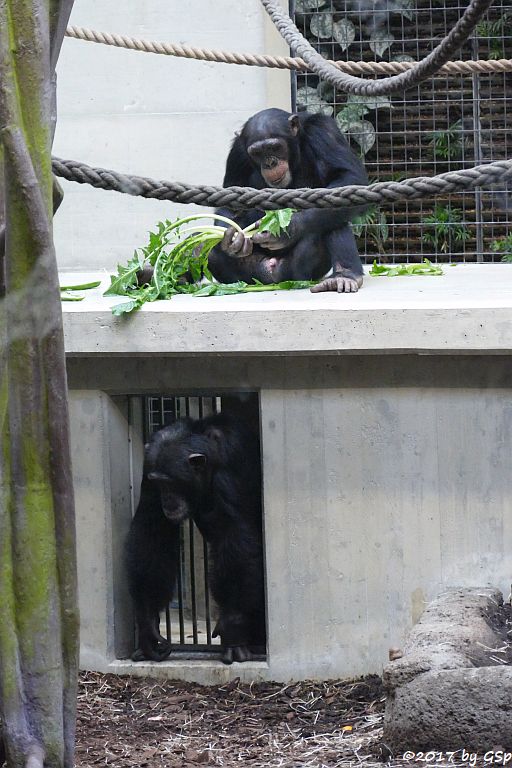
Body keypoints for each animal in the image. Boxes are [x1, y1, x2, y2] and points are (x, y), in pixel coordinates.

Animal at [125, 414, 266, 664]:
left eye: (171, 483)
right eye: (159, 484)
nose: (167, 499)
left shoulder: (228, 477)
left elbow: (235, 543)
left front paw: (234, 628)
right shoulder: (149, 469)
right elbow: (152, 533)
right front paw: (147, 624)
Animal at [208, 109, 368, 296]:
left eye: (274, 147)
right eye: (257, 153)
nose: (270, 162)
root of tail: (275, 277)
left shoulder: (324, 130)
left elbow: (348, 177)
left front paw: (288, 228)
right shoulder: (237, 153)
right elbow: (230, 199)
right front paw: (232, 240)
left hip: (301, 272)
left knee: (334, 214)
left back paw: (344, 276)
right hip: (255, 275)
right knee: (210, 251)